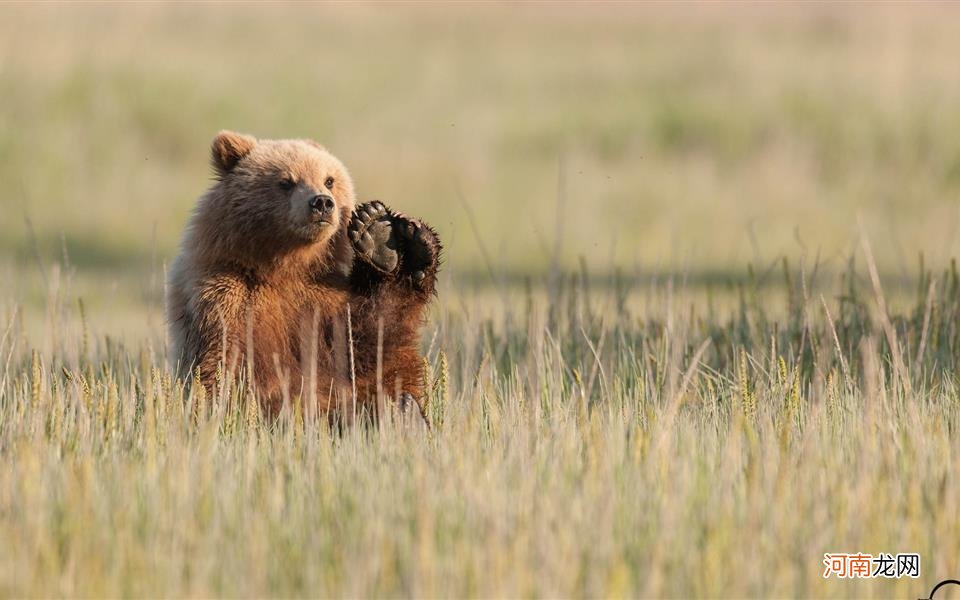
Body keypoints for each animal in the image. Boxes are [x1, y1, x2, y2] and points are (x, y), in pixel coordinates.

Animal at [167, 131, 440, 422]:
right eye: (286, 182)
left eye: (329, 179)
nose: (322, 202)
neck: (283, 267)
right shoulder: (227, 299)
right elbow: (229, 367)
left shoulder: (324, 301)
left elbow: (369, 349)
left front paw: (377, 233)